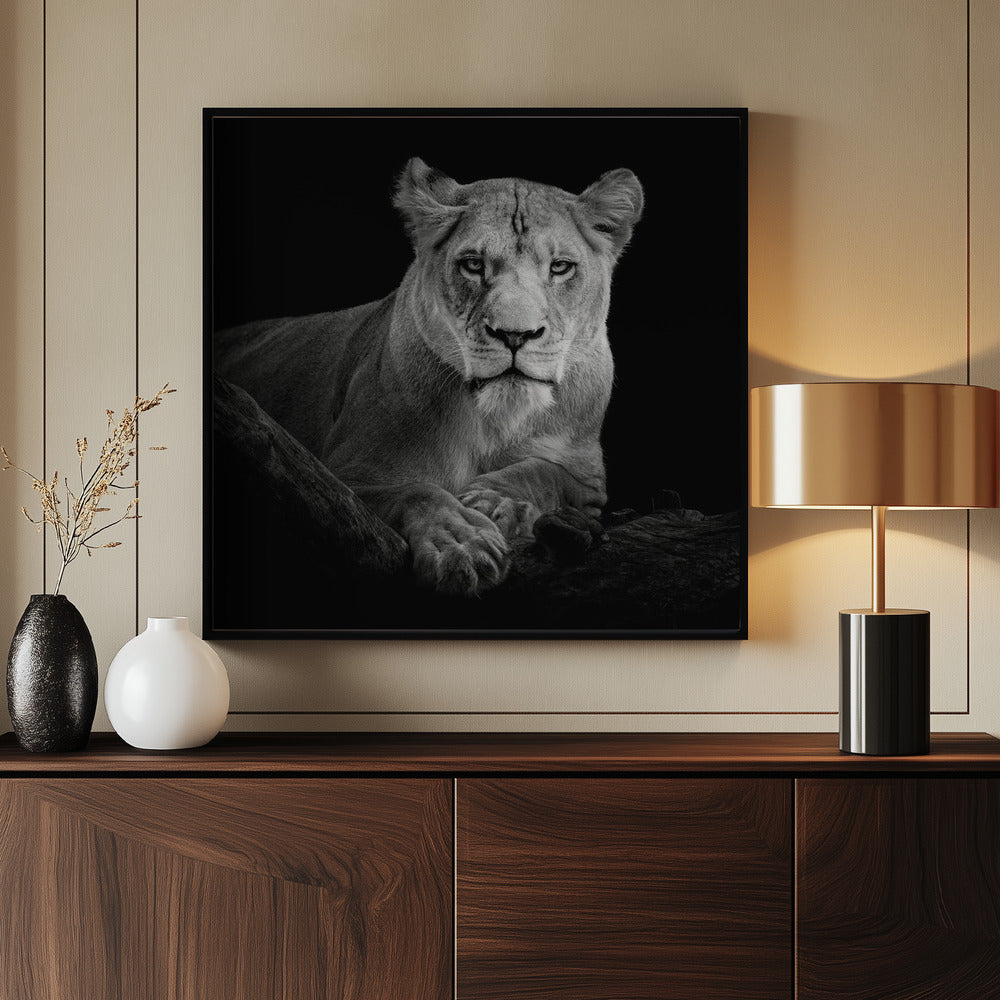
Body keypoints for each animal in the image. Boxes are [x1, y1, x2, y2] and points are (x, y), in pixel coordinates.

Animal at [215, 157, 643, 597]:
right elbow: (417, 491)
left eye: (560, 267)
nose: (515, 334)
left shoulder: (588, 479)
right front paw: (462, 544)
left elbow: (545, 473)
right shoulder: (339, 478)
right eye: (473, 264)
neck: (494, 420)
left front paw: (497, 502)